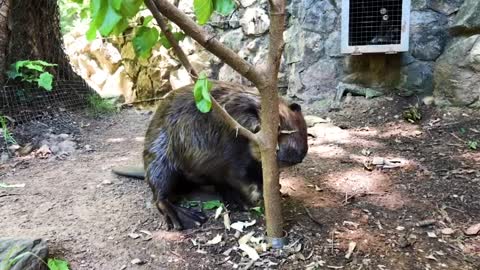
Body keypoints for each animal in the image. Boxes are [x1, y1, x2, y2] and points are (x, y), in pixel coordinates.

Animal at [113, 80, 308, 230]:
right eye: (279, 127)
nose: (296, 155)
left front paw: (276, 187)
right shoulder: (231, 134)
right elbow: (238, 173)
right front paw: (256, 195)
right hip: (159, 151)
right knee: (160, 192)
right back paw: (188, 218)